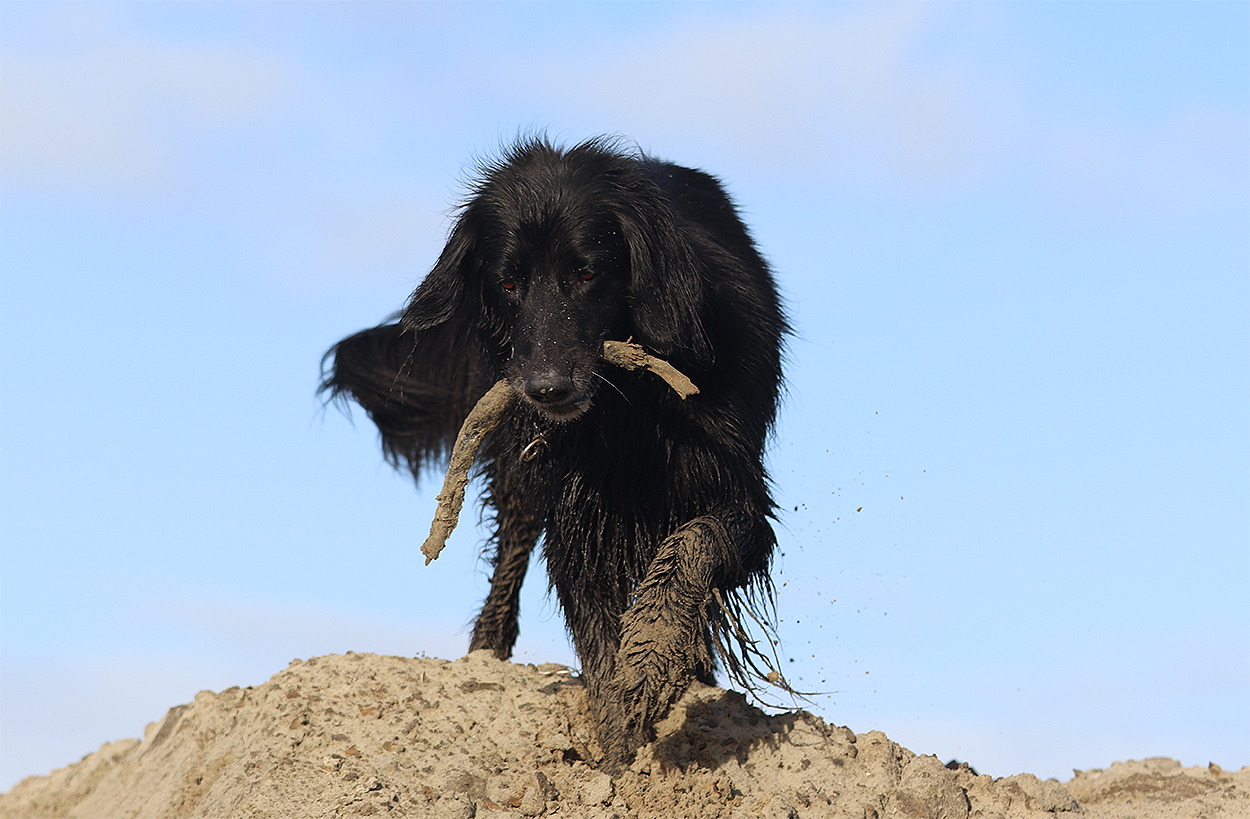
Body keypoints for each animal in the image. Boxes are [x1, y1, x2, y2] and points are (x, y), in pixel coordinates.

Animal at [322, 136, 788, 768]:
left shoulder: (737, 491)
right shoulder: (577, 514)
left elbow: (692, 547)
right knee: (510, 554)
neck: (629, 409)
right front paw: (618, 747)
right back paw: (485, 655)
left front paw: (650, 658)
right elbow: (596, 633)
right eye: (508, 283)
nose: (546, 389)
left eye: (587, 272)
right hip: (518, 467)